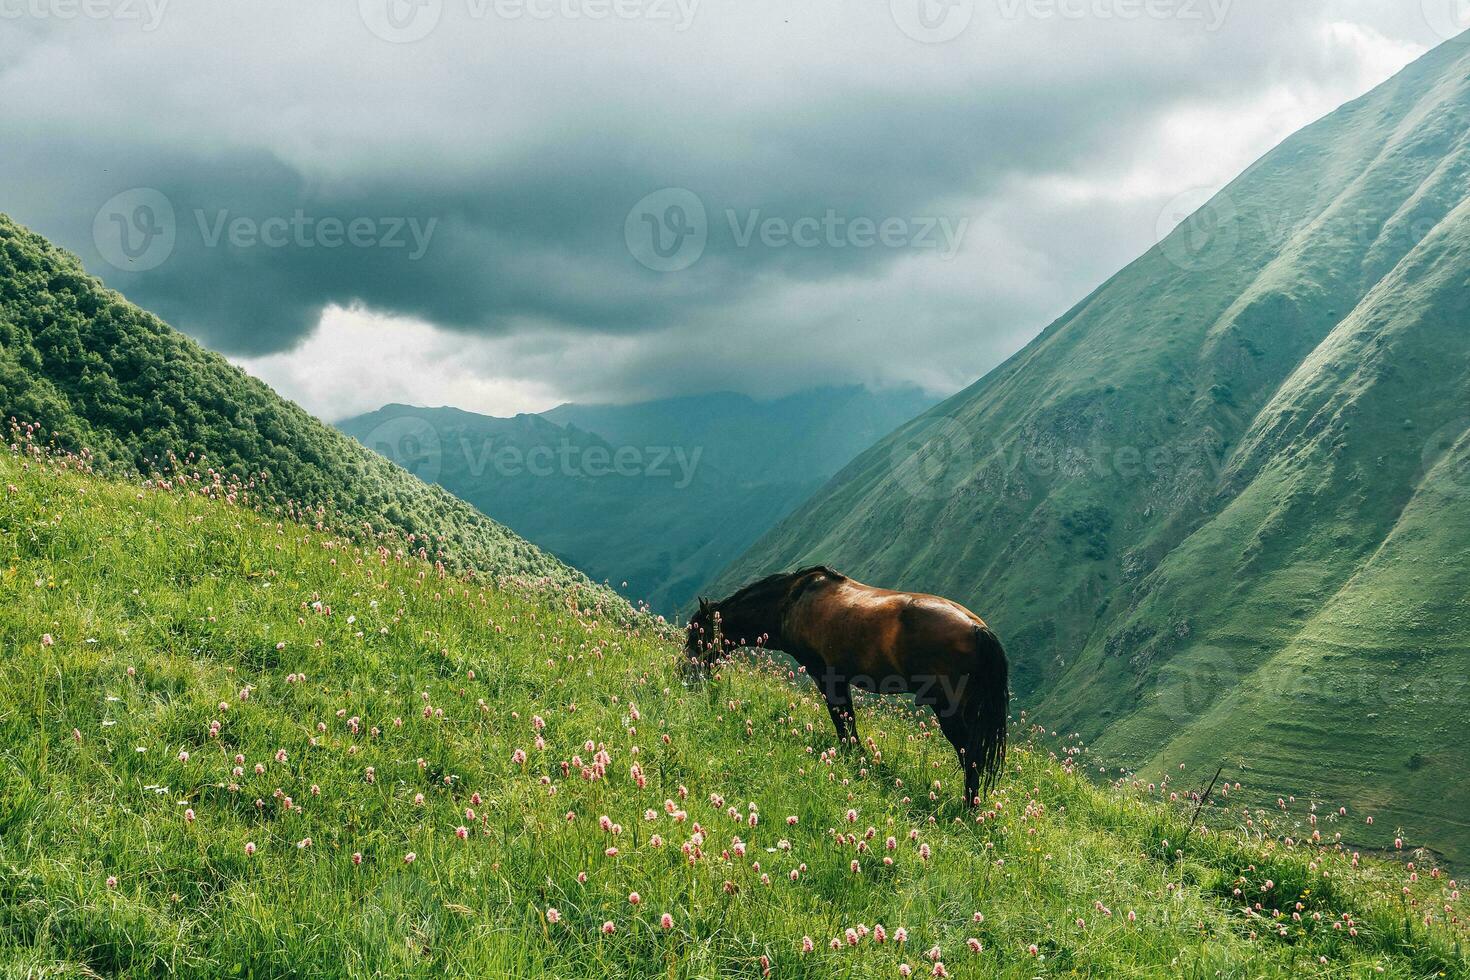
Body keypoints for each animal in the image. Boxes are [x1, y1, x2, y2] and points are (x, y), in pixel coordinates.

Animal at [682, 567, 1005, 805]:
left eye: (696, 632)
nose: (686, 673)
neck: (791, 602)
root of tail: (977, 628)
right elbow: (848, 720)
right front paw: (858, 758)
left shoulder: (826, 674)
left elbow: (841, 719)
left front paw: (851, 756)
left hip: (949, 709)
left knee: (970, 754)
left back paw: (967, 807)